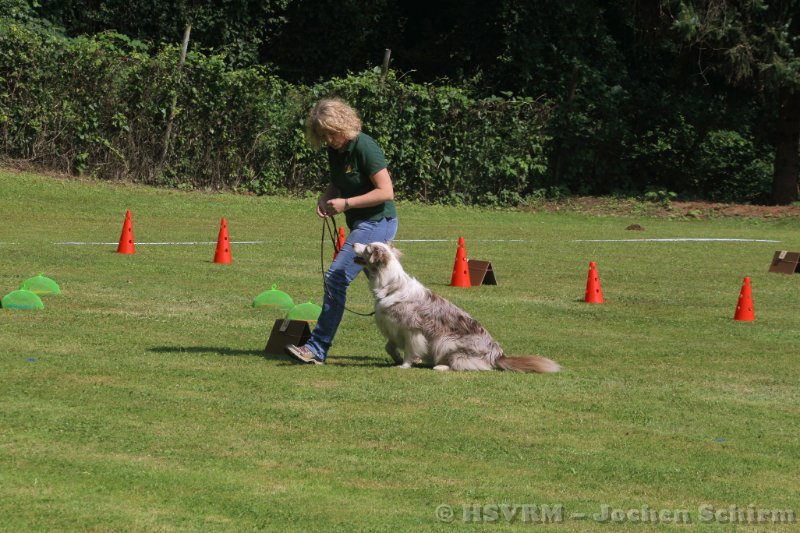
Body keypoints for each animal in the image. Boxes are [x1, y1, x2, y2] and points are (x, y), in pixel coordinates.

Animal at [353, 242, 560, 373]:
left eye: (368, 247)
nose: (353, 243)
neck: (390, 285)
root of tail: (498, 355)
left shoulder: (412, 329)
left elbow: (411, 350)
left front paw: (404, 365)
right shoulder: (392, 326)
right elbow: (389, 346)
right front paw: (396, 356)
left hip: (446, 341)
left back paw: (440, 366)